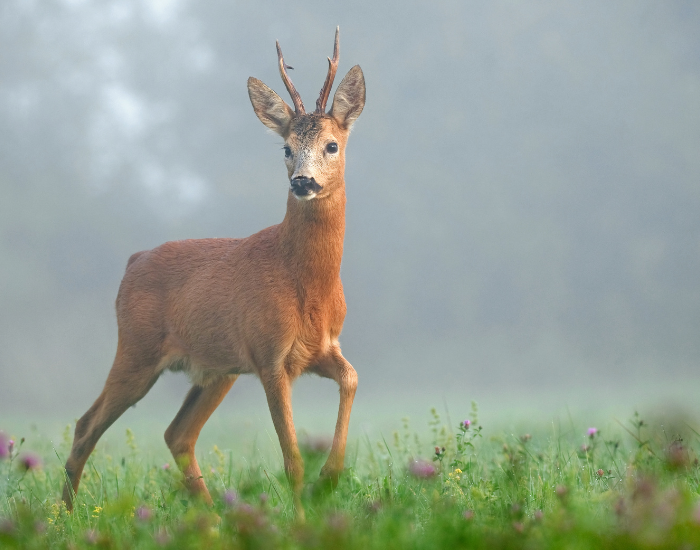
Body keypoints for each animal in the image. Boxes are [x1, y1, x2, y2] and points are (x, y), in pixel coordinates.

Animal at [61, 27, 365, 520]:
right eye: (286, 148)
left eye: (332, 145)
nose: (302, 181)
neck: (306, 285)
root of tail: (133, 260)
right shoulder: (269, 355)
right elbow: (292, 458)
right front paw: (303, 521)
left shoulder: (321, 348)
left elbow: (352, 379)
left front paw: (331, 480)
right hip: (136, 349)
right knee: (87, 424)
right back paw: (65, 519)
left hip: (216, 369)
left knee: (177, 433)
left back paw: (215, 519)